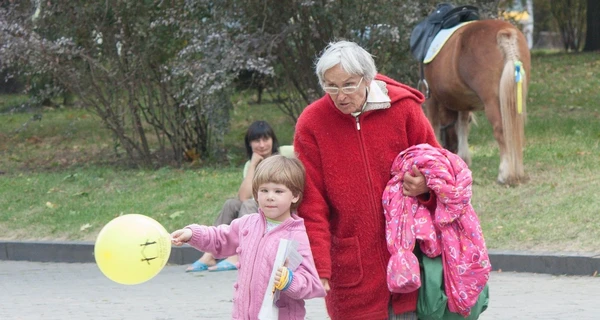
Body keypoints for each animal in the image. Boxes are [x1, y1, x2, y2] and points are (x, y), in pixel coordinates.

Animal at [422, 19, 528, 185]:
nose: (451, 150)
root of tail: (505, 33)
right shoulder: (463, 101)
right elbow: (463, 125)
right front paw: (464, 158)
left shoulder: (432, 97)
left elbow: (434, 126)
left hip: (492, 102)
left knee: (501, 131)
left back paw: (505, 174)